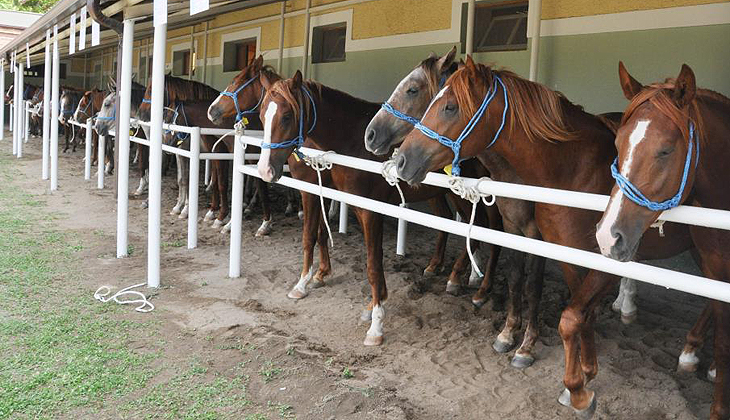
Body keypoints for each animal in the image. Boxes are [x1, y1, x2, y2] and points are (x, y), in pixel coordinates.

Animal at [250, 70, 500, 346]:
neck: (354, 141)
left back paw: (473, 284)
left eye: (286, 116)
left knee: (488, 231)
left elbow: (371, 262)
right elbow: (316, 236)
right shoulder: (337, 198)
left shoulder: (368, 210)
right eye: (262, 116)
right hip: (446, 194)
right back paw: (444, 270)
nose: (265, 170)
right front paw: (316, 282)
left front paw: (376, 324)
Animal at [392, 55, 700, 416]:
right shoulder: (545, 242)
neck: (574, 170)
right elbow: (557, 300)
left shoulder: (569, 248)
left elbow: (549, 296)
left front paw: (534, 353)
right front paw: (575, 370)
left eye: (450, 106)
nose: (401, 159)